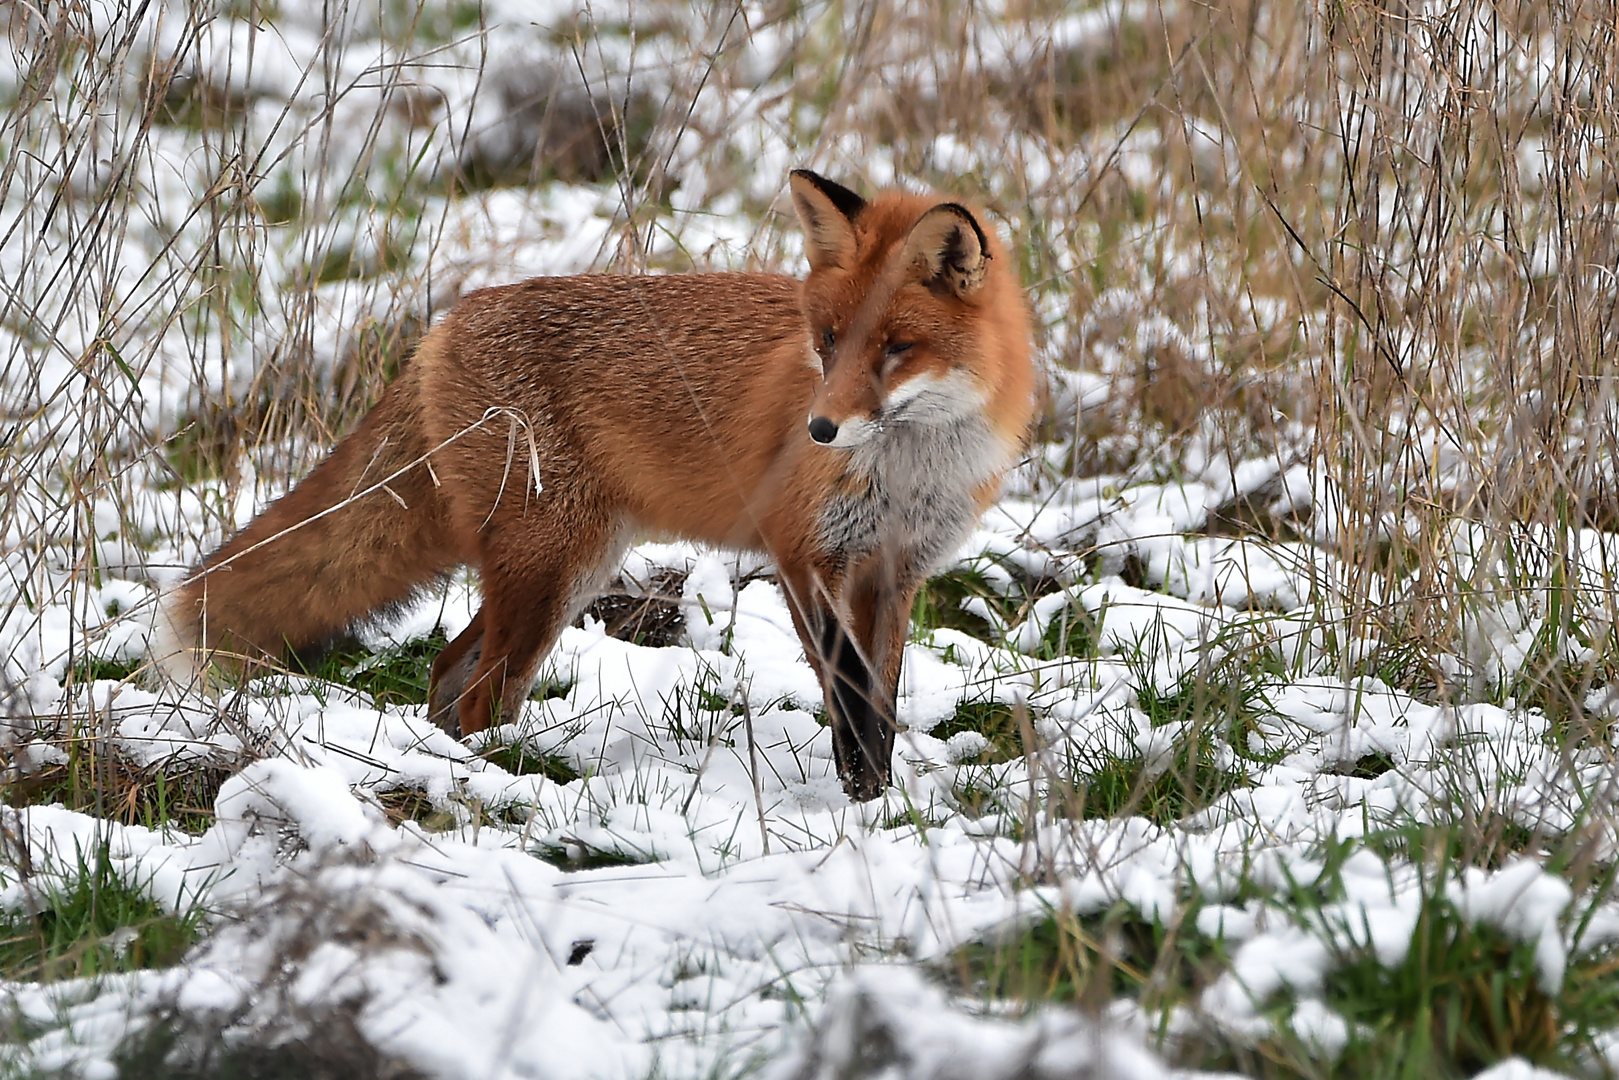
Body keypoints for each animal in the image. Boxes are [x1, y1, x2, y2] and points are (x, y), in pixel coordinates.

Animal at [154, 173, 1036, 803]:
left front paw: (879, 798)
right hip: (553, 568)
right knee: (479, 691)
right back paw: (493, 780)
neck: (912, 467)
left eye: (894, 348)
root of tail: (441, 328)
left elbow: (878, 700)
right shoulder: (803, 555)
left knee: (446, 672)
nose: (818, 430)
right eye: (825, 340)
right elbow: (849, 695)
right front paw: (862, 798)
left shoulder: (892, 571)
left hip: (560, 569)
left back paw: (453, 763)